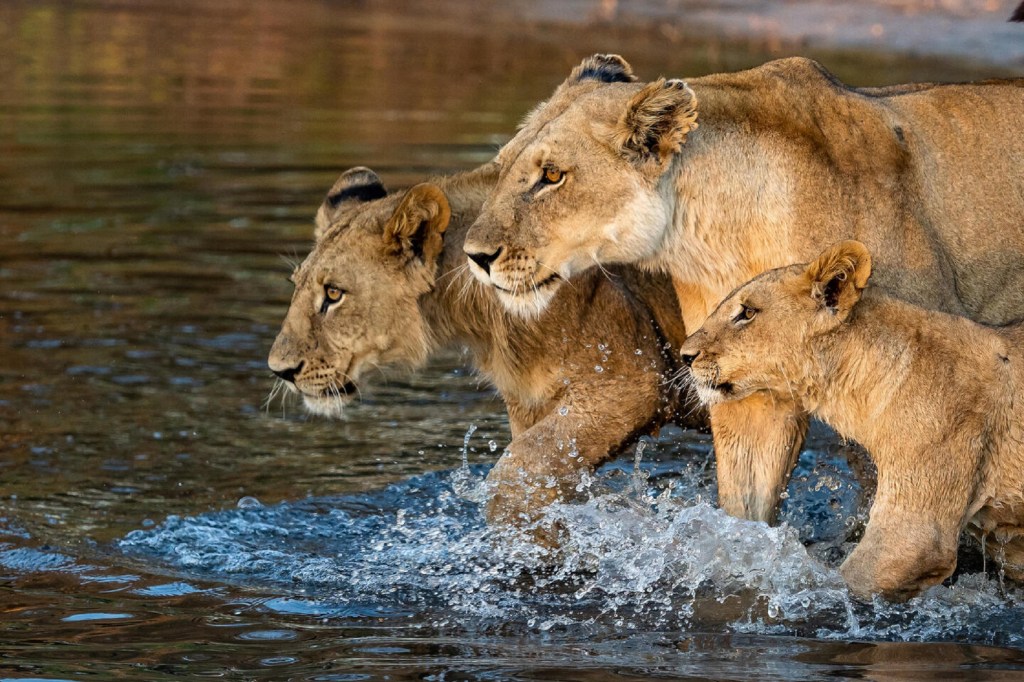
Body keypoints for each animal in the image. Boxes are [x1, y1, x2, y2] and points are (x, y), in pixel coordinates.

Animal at [266, 161, 704, 540]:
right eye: (296, 286)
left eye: (333, 294)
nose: (279, 370)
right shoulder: (532, 405)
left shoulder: (631, 381)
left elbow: (514, 472)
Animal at [462, 54, 1024, 520]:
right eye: (504, 166)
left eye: (552, 176)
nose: (475, 256)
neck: (716, 228)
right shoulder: (740, 383)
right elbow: (745, 512)